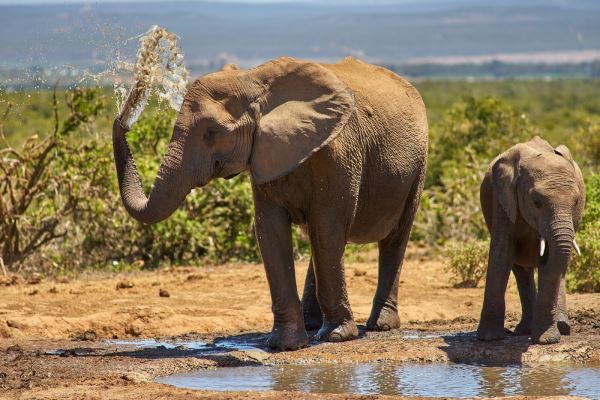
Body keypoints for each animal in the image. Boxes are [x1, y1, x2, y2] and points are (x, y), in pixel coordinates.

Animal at [112, 56, 428, 350]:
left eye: (211, 132)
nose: (124, 118)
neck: (253, 80)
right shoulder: (262, 153)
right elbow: (270, 231)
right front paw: (284, 345)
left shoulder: (338, 153)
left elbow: (327, 229)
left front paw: (337, 337)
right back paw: (313, 325)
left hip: (417, 166)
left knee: (393, 238)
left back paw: (379, 326)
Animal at [476, 137, 584, 344]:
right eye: (536, 202)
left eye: (576, 202)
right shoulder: (503, 199)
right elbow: (502, 254)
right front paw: (488, 339)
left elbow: (550, 261)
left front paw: (546, 340)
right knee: (521, 270)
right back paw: (525, 330)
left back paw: (562, 327)